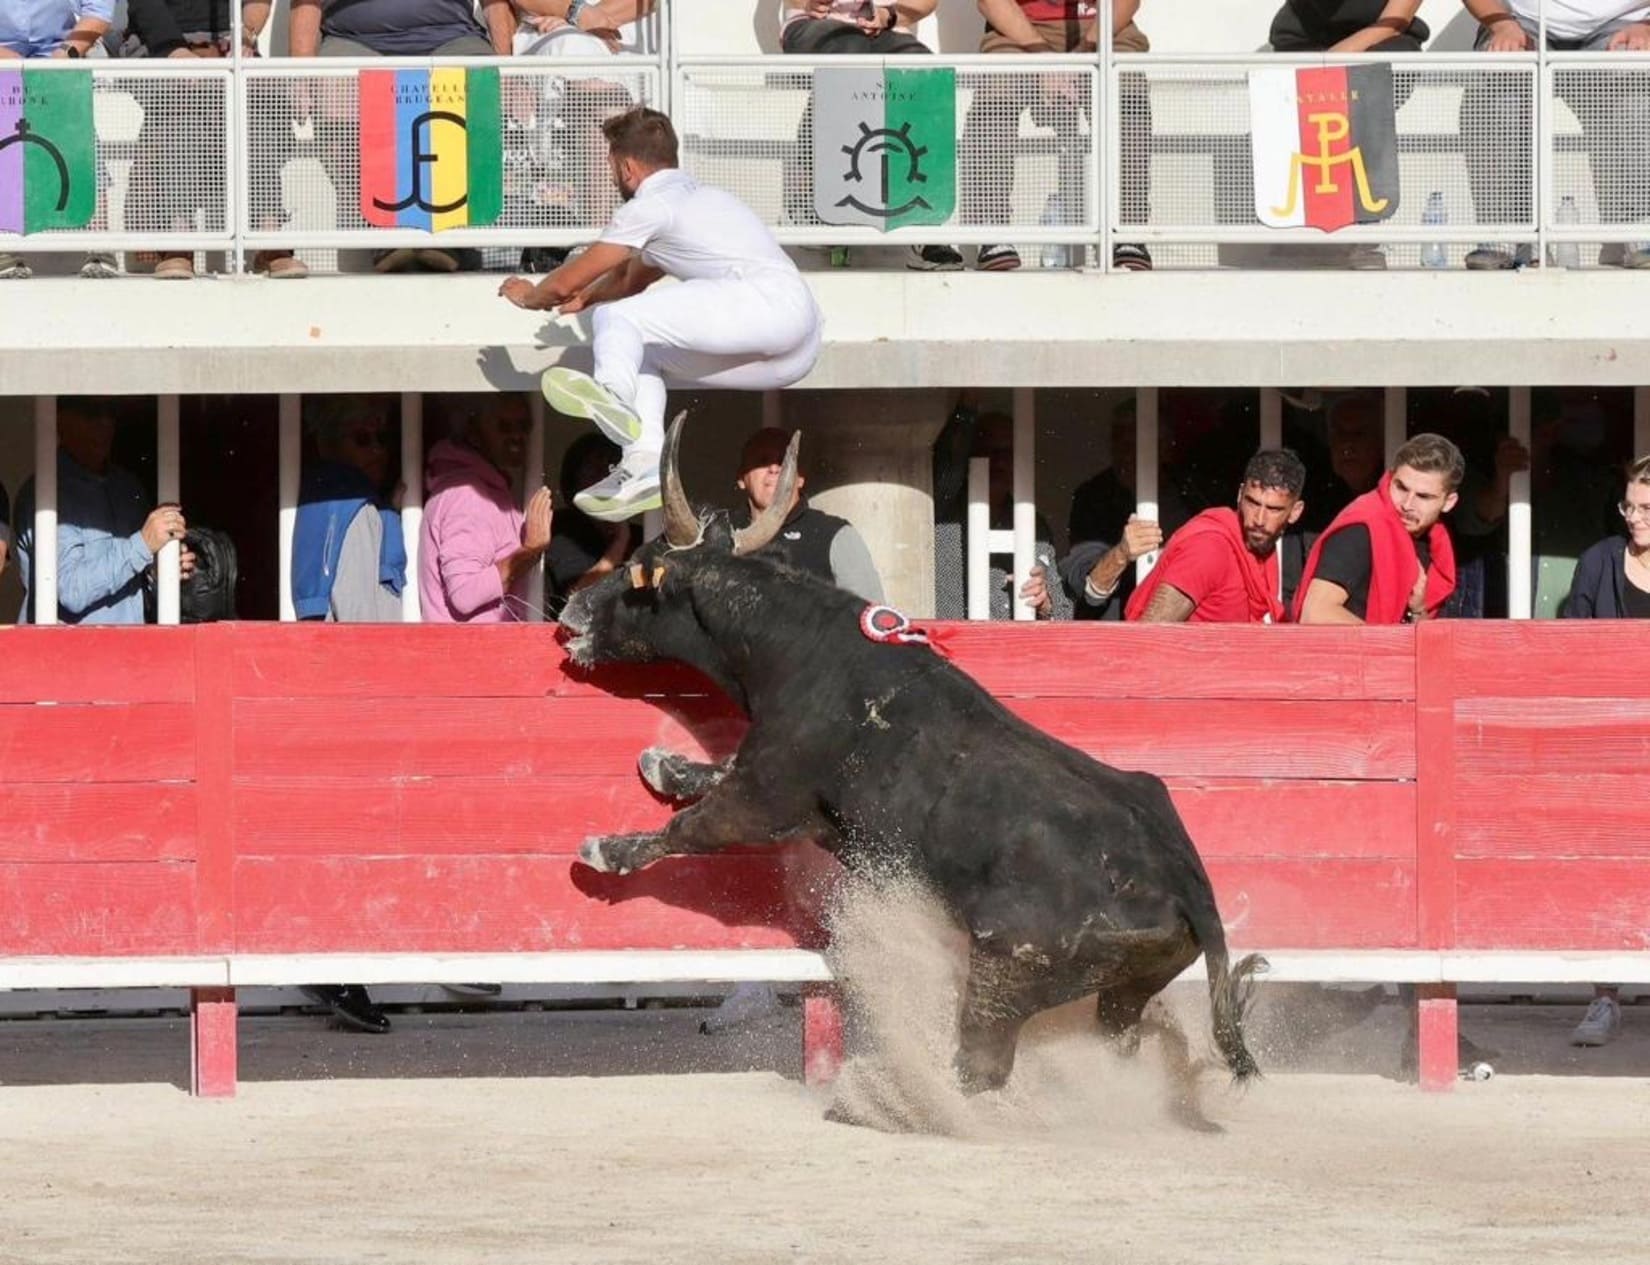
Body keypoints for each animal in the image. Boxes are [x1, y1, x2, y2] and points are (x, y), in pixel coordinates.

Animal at [561, 415, 1267, 1128]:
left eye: (636, 575)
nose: (570, 613)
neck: (801, 647)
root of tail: (1186, 881)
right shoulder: (777, 786)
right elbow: (709, 774)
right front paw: (661, 763)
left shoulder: (764, 801)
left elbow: (691, 829)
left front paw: (602, 850)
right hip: (1126, 990)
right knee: (1116, 1046)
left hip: (1005, 976)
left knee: (981, 1066)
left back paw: (884, 1100)